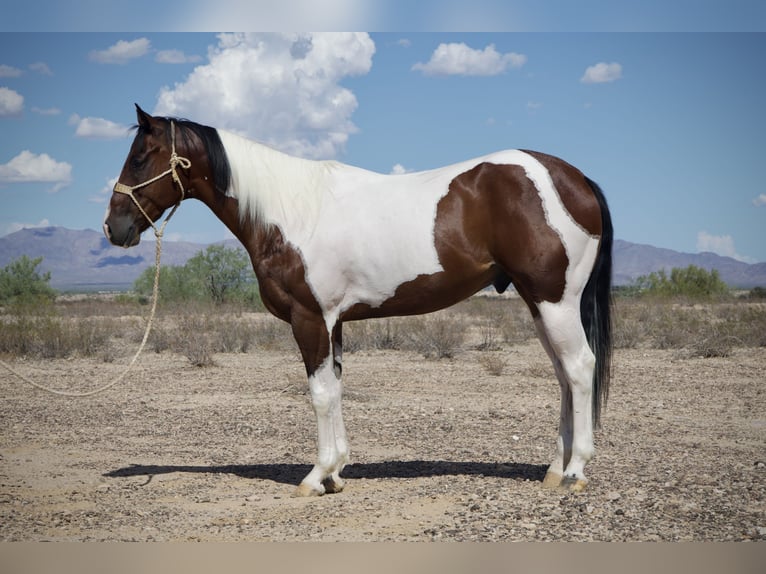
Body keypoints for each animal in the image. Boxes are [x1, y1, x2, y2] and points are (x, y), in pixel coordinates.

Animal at [104, 104, 613, 496]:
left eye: (140, 157)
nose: (114, 227)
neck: (289, 212)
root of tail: (573, 178)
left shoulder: (310, 318)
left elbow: (320, 394)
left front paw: (316, 477)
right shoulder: (334, 323)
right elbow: (335, 388)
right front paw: (335, 473)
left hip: (555, 301)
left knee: (580, 368)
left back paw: (574, 472)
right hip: (539, 304)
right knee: (563, 375)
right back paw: (554, 469)